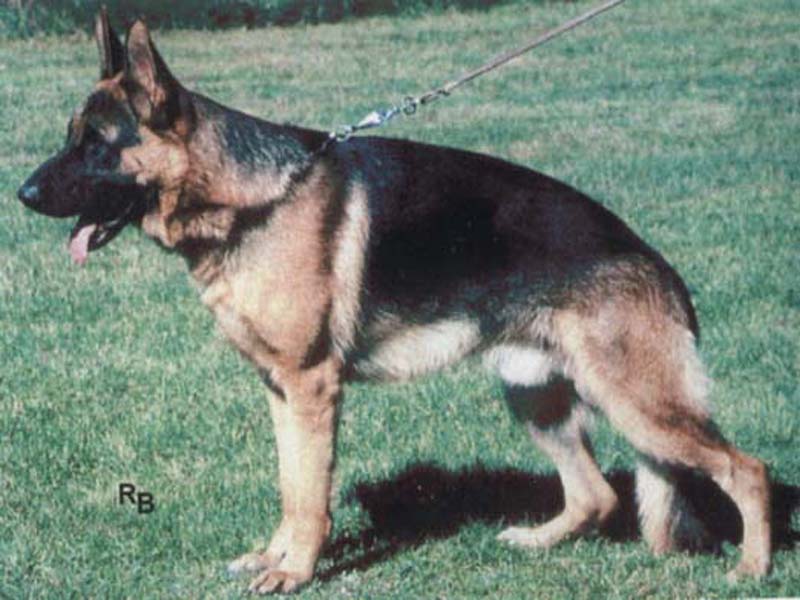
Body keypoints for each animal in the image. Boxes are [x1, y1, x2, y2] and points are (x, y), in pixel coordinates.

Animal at [17, 11, 771, 594]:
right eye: (68, 137)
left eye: (97, 145)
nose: (22, 195)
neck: (254, 198)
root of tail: (656, 262)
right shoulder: (280, 390)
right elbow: (290, 485)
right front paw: (275, 557)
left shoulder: (312, 387)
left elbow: (310, 495)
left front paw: (296, 572)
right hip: (536, 394)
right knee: (598, 494)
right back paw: (535, 541)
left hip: (637, 403)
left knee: (748, 470)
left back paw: (753, 569)